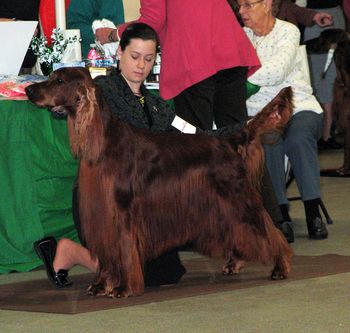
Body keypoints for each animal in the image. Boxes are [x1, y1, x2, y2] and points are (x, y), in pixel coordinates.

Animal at [26, 67, 292, 296]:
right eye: (51, 77)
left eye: (59, 81)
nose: (28, 90)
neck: (104, 142)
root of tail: (229, 142)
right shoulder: (102, 212)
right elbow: (106, 253)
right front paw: (102, 285)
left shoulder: (123, 212)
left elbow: (124, 250)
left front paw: (124, 288)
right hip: (223, 205)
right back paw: (235, 263)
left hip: (240, 199)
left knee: (270, 232)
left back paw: (280, 267)